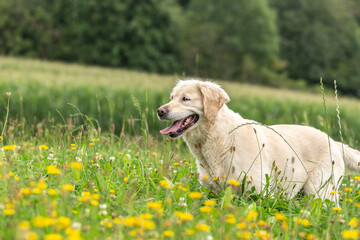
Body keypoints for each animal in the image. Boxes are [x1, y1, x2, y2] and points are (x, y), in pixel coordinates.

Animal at [158, 79, 360, 202]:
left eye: (186, 99)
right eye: (171, 98)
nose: (160, 111)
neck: (219, 137)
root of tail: (334, 141)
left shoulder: (258, 190)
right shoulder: (212, 192)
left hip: (319, 191)